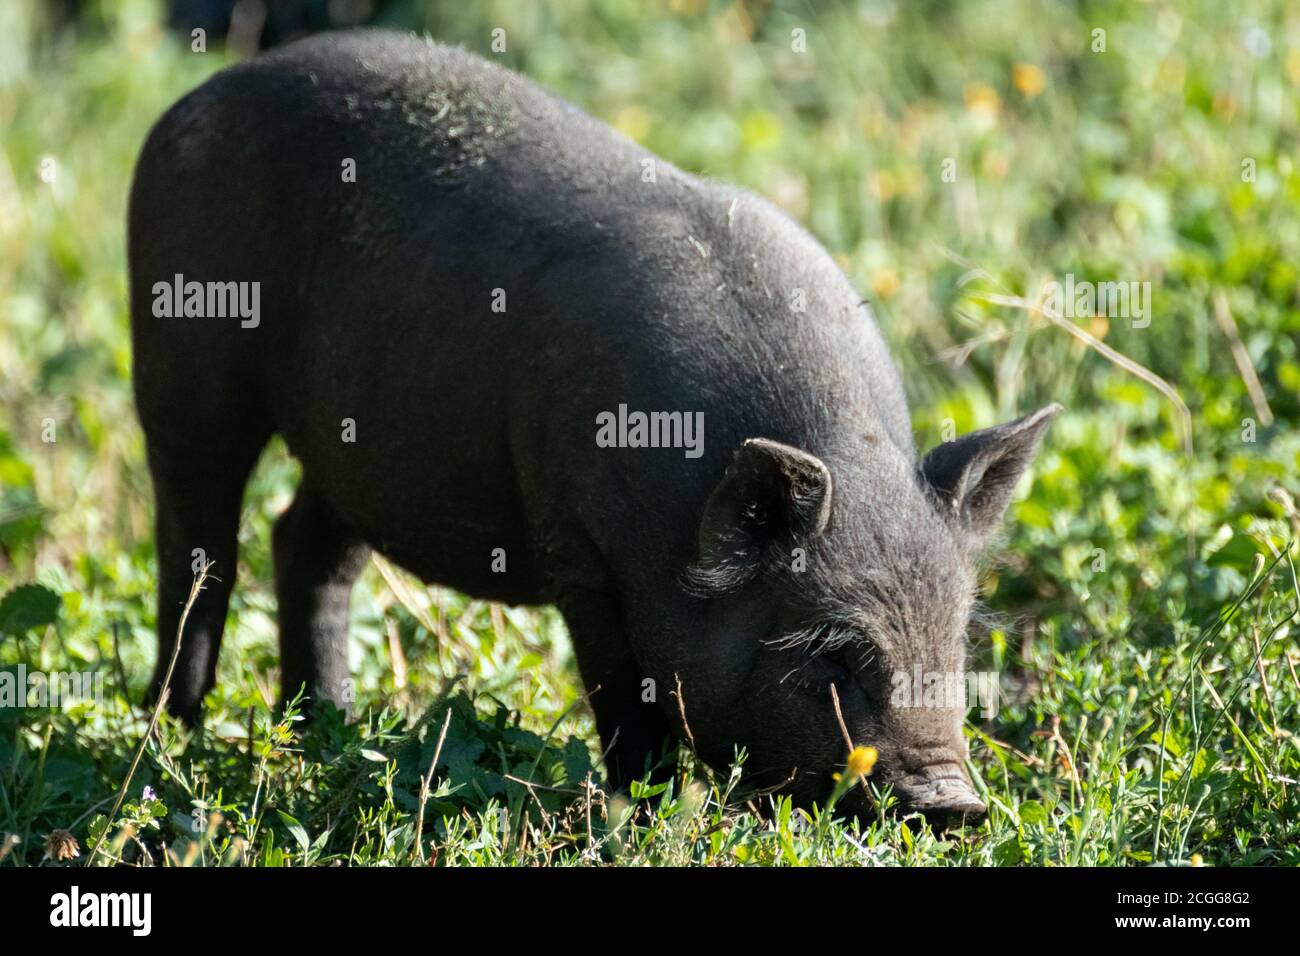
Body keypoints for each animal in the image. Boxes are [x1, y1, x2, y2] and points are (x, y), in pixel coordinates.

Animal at [126, 29, 1055, 822]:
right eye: (833, 650)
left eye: (957, 643)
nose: (955, 803)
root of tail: (195, 100)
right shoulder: (581, 550)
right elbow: (624, 697)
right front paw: (645, 814)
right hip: (182, 364)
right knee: (198, 538)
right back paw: (175, 733)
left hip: (352, 447)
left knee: (305, 544)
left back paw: (327, 727)